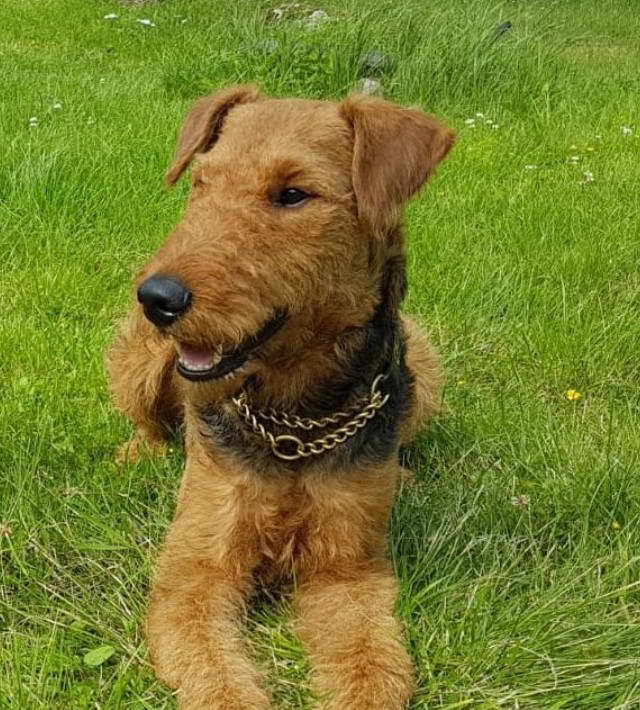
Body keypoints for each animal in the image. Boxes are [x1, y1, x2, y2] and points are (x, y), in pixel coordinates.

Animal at [106, 87, 456, 710]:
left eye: (292, 194)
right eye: (201, 182)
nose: (158, 297)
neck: (292, 423)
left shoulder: (346, 571)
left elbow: (370, 666)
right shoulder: (196, 571)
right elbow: (217, 675)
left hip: (422, 360)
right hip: (140, 359)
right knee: (147, 422)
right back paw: (136, 454)